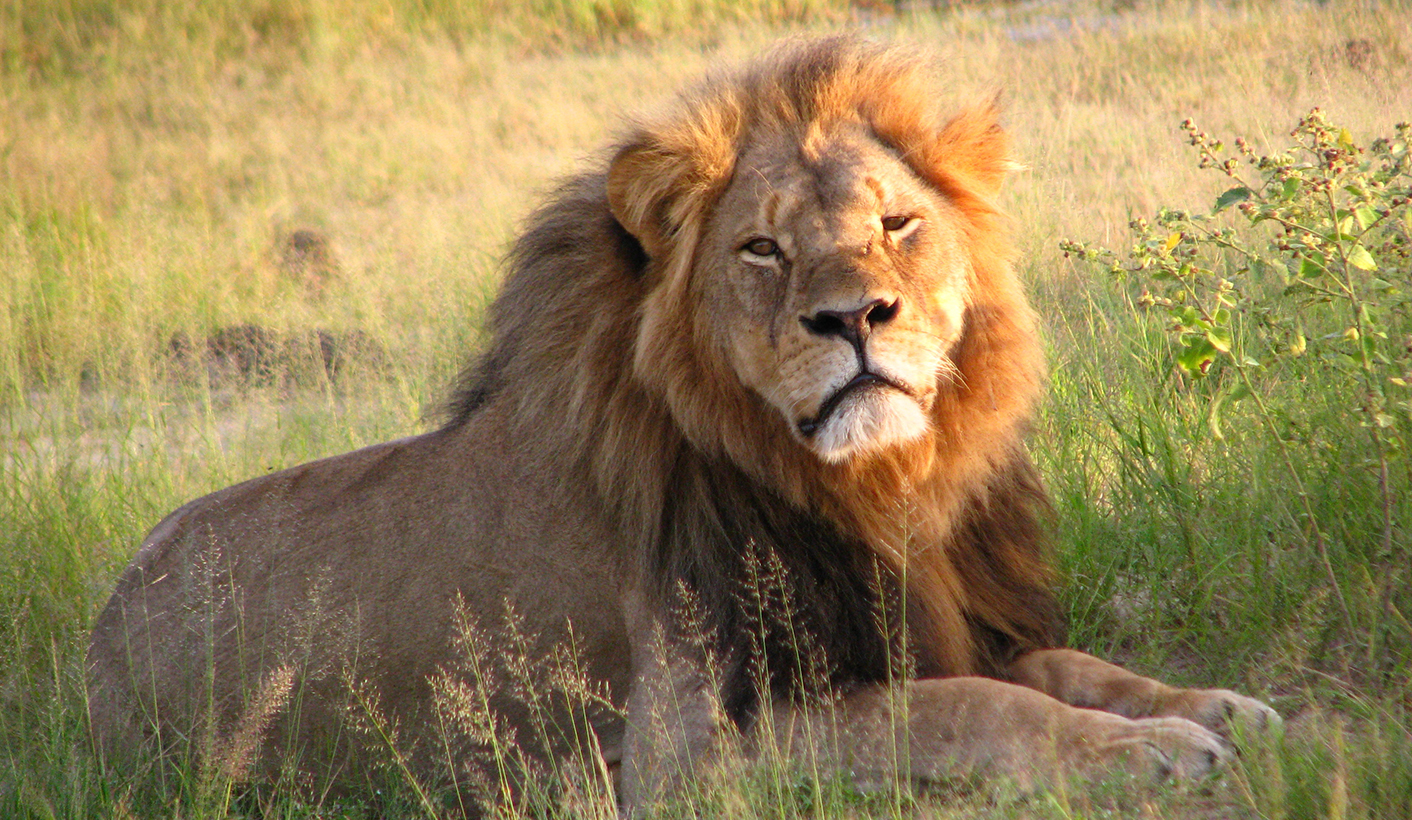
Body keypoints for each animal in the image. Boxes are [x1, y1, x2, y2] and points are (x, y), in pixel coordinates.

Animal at [87, 36, 1277, 813]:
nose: (854, 317)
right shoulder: (684, 750)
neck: (871, 488)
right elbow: (971, 706)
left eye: (897, 223)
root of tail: (96, 635)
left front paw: (1210, 706)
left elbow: (1068, 665)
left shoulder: (926, 613)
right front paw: (1150, 749)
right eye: (761, 248)